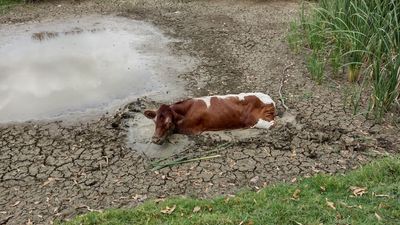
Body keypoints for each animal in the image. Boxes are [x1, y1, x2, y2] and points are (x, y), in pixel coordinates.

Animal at [143, 92, 276, 144]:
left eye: (169, 122)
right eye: (154, 121)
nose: (155, 140)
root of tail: (270, 100)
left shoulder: (191, 130)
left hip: (258, 121)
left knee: (272, 124)